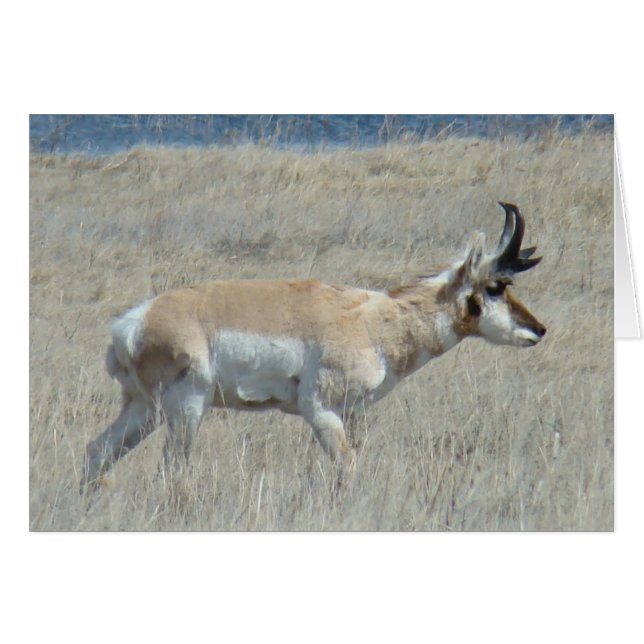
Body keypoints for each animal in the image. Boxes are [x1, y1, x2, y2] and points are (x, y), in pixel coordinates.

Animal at [81, 202, 546, 489]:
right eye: (495, 287)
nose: (539, 329)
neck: (374, 320)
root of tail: (133, 322)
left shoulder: (354, 413)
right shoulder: (320, 411)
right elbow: (347, 468)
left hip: (146, 410)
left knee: (97, 451)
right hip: (185, 409)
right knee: (169, 471)